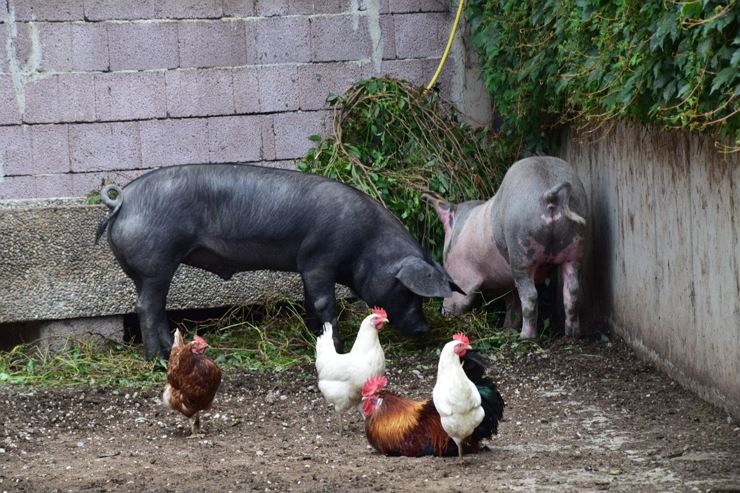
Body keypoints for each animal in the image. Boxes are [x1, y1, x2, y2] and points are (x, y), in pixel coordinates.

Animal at [95, 163, 463, 359]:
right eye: (407, 290)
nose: (424, 328)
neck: (366, 244)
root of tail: (122, 201)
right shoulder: (320, 259)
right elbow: (324, 301)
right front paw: (337, 346)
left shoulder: (306, 266)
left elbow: (310, 301)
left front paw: (315, 335)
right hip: (156, 264)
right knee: (147, 308)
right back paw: (156, 359)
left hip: (148, 271)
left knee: (154, 307)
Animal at [424, 156, 588, 339]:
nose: (441, 313)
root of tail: (549, 194)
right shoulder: (506, 284)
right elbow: (512, 304)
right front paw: (507, 328)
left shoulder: (462, 272)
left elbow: (460, 297)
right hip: (576, 245)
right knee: (572, 292)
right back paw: (572, 335)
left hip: (520, 250)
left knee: (530, 296)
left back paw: (525, 337)